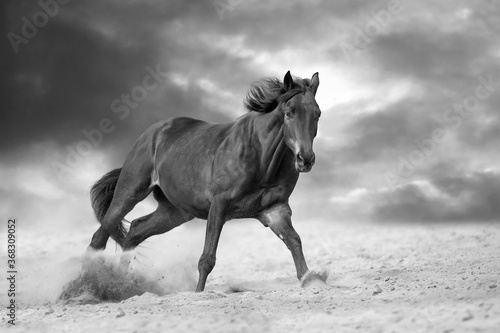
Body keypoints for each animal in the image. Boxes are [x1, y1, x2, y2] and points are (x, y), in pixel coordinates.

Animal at [87, 70, 326, 290]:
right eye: (289, 113)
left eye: (317, 114)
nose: (305, 159)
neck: (260, 157)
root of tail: (150, 134)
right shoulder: (218, 206)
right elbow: (207, 258)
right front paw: (198, 292)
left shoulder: (275, 210)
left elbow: (294, 241)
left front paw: (310, 279)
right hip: (130, 193)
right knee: (100, 237)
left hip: (175, 211)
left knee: (135, 230)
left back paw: (121, 284)